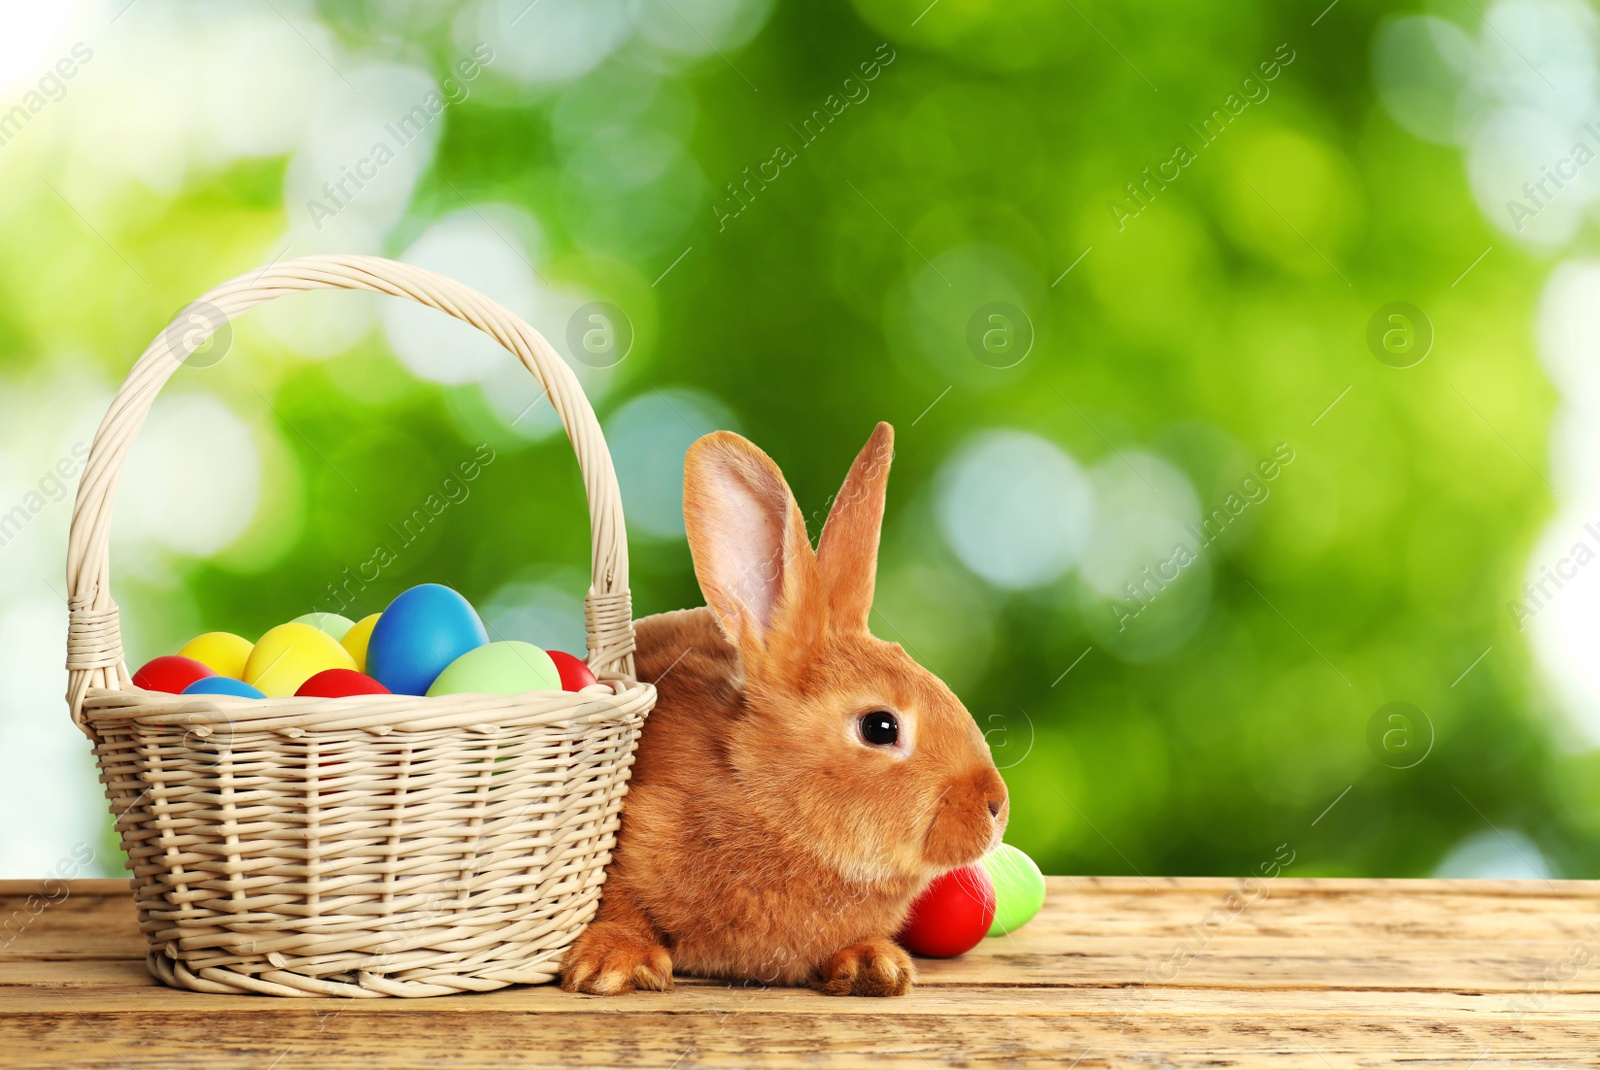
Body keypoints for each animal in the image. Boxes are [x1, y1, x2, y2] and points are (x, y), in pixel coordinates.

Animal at [563, 422, 1004, 998]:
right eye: (880, 726)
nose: (996, 806)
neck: (767, 799)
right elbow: (620, 909)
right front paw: (609, 966)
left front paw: (876, 965)